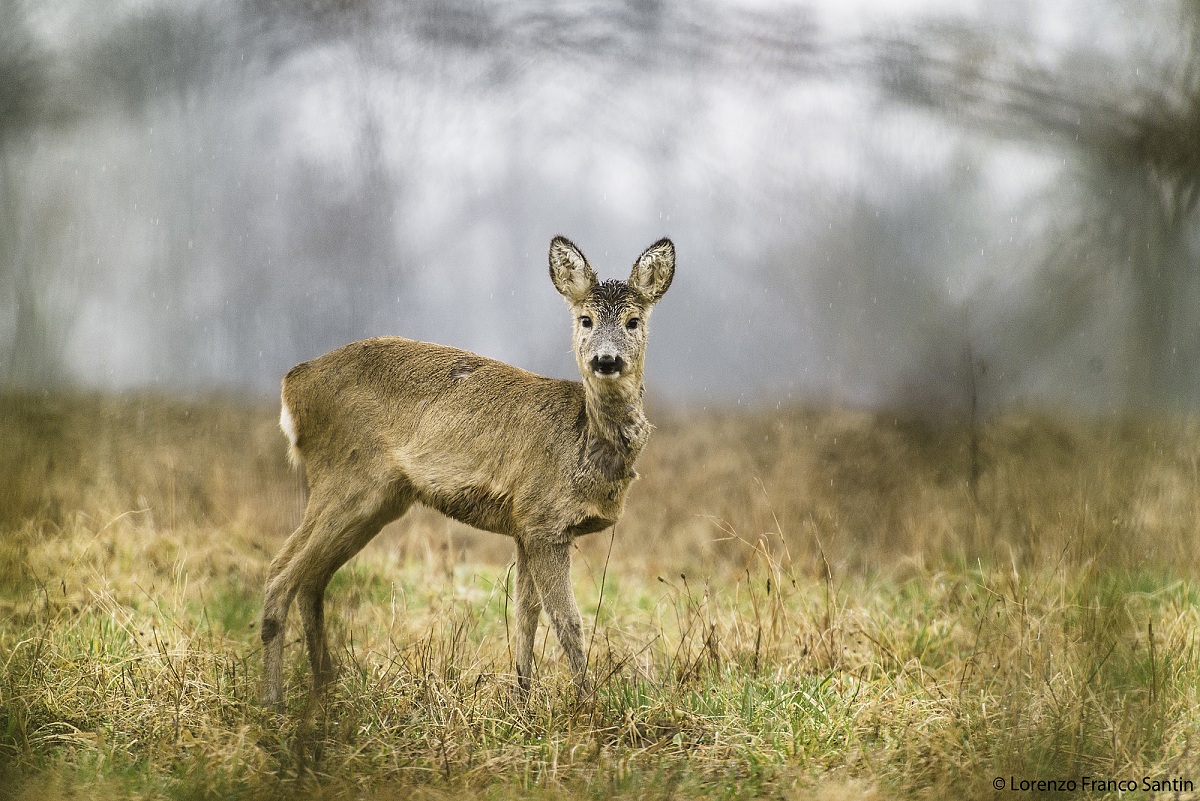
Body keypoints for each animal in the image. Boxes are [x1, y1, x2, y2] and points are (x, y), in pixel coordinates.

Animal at [261, 235, 675, 705]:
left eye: (633, 321)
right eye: (585, 320)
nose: (606, 360)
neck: (582, 442)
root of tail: (292, 385)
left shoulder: (524, 525)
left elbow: (525, 613)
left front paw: (522, 699)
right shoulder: (544, 519)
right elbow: (567, 619)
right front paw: (587, 705)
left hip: (378, 499)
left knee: (310, 579)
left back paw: (324, 693)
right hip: (346, 479)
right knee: (280, 575)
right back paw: (276, 702)